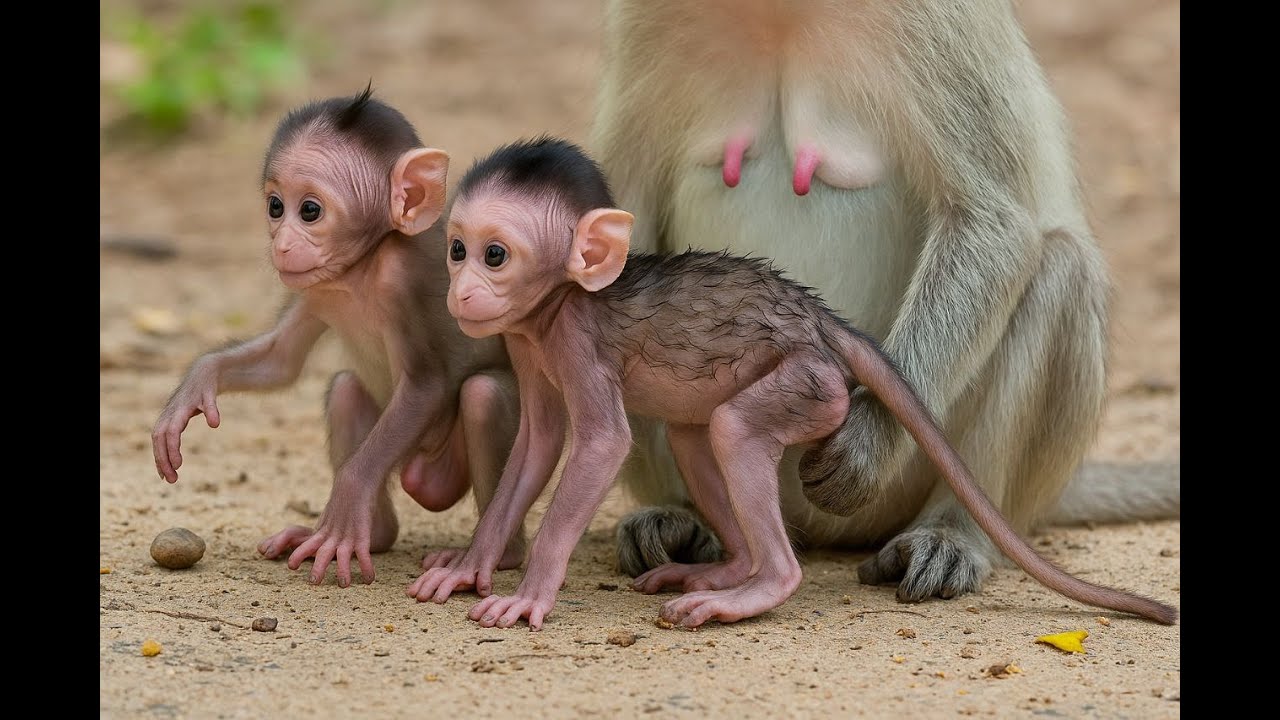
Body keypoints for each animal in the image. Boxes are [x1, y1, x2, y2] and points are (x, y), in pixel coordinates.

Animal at [151, 86, 524, 589]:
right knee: (346, 390)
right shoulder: (315, 288)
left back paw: (502, 554)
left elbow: (426, 386)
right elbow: (281, 361)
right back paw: (377, 533)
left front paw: (345, 503)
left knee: (484, 395)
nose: (282, 244)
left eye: (310, 210)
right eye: (275, 206)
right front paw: (191, 391)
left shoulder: (401, 281)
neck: (359, 270)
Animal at [415, 136, 1175, 630]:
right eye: (455, 250)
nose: (460, 292)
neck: (559, 303)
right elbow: (539, 443)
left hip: (811, 386)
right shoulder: (527, 342)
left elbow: (599, 444)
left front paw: (532, 592)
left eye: (494, 255)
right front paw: (472, 563)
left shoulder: (573, 341)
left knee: (734, 431)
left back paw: (760, 584)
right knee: (698, 436)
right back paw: (731, 568)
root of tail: (820, 321)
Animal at [589, 0, 1179, 603]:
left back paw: (952, 532)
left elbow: (991, 221)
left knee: (1063, 266)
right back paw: (688, 519)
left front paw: (867, 447)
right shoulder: (644, 21)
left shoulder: (936, 20)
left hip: (904, 485)